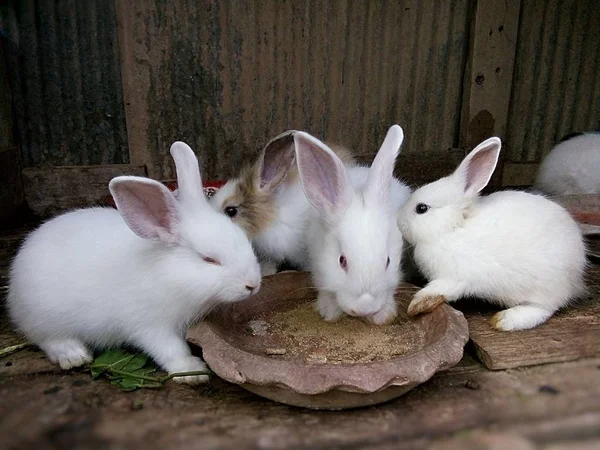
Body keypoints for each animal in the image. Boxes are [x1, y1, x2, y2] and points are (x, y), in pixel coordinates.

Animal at [7, 141, 260, 384]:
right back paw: (74, 355)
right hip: (44, 317)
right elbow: (171, 349)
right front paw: (192, 372)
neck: (168, 274)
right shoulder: (151, 325)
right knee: (48, 339)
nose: (253, 285)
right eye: (209, 259)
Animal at [398, 137, 584, 330]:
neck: (451, 229)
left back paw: (505, 320)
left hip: (545, 287)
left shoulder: (455, 278)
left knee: (544, 308)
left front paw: (417, 305)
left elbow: (439, 289)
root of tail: (577, 274)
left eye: (421, 208)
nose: (399, 221)